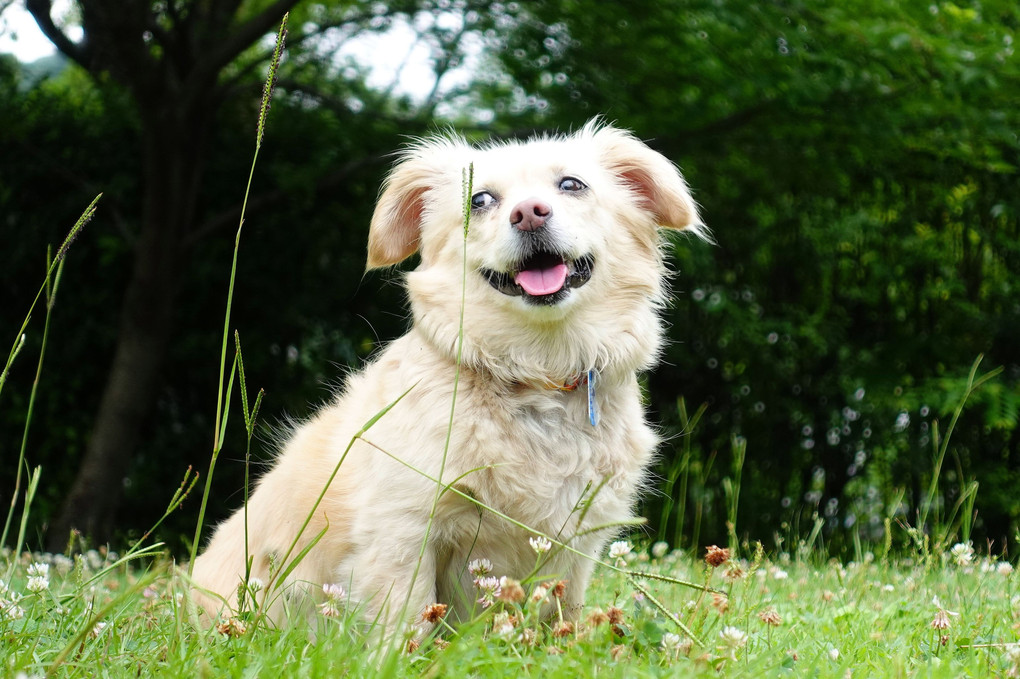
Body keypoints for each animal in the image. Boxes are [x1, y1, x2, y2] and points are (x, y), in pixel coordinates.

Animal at [191, 117, 705, 636]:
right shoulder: (402, 532)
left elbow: (563, 611)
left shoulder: (577, 544)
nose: (529, 213)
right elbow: (405, 620)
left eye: (571, 185)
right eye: (480, 200)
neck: (537, 372)